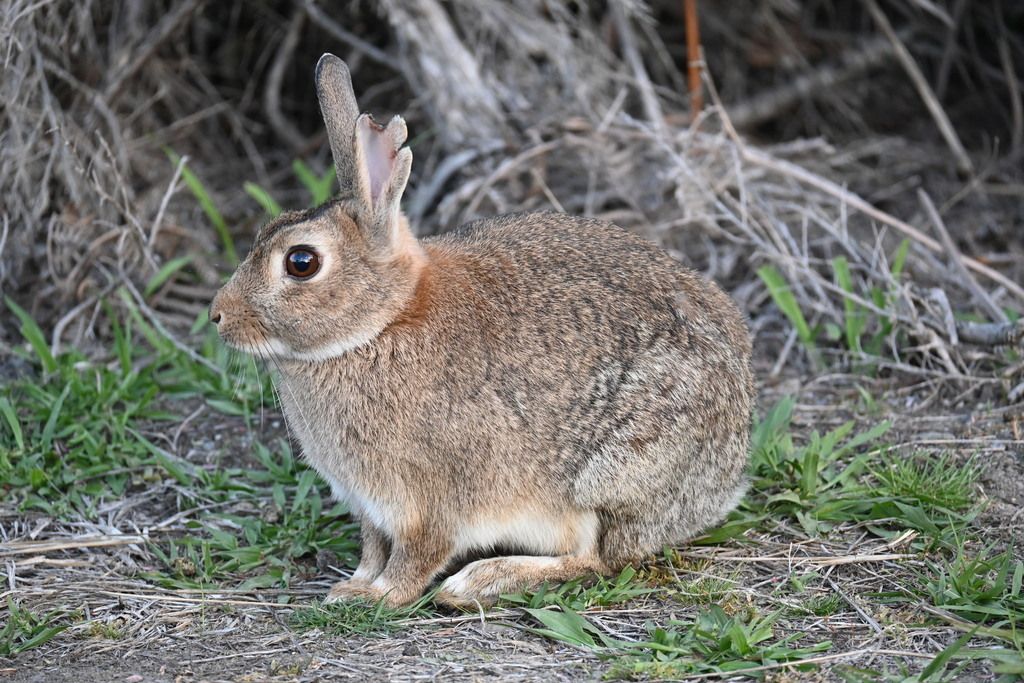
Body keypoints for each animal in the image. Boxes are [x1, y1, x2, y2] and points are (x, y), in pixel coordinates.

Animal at [209, 53, 754, 608]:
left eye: (301, 262)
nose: (218, 316)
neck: (381, 325)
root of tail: (726, 474)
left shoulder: (428, 503)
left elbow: (414, 558)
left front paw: (379, 597)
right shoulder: (370, 507)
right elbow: (371, 548)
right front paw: (354, 586)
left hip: (608, 477)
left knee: (596, 559)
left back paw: (477, 581)